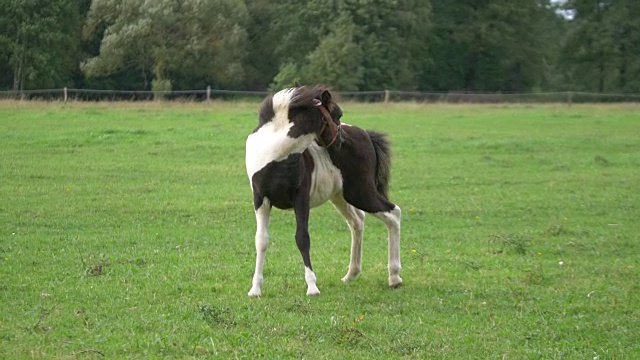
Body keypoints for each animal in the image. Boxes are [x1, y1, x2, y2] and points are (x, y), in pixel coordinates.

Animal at [245, 86, 400, 296]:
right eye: (338, 114)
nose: (340, 143)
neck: (276, 155)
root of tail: (366, 135)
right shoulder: (261, 200)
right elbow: (261, 240)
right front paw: (255, 289)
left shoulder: (301, 199)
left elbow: (302, 238)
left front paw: (312, 286)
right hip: (341, 196)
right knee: (357, 221)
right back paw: (351, 275)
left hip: (361, 193)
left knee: (394, 214)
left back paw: (395, 277)